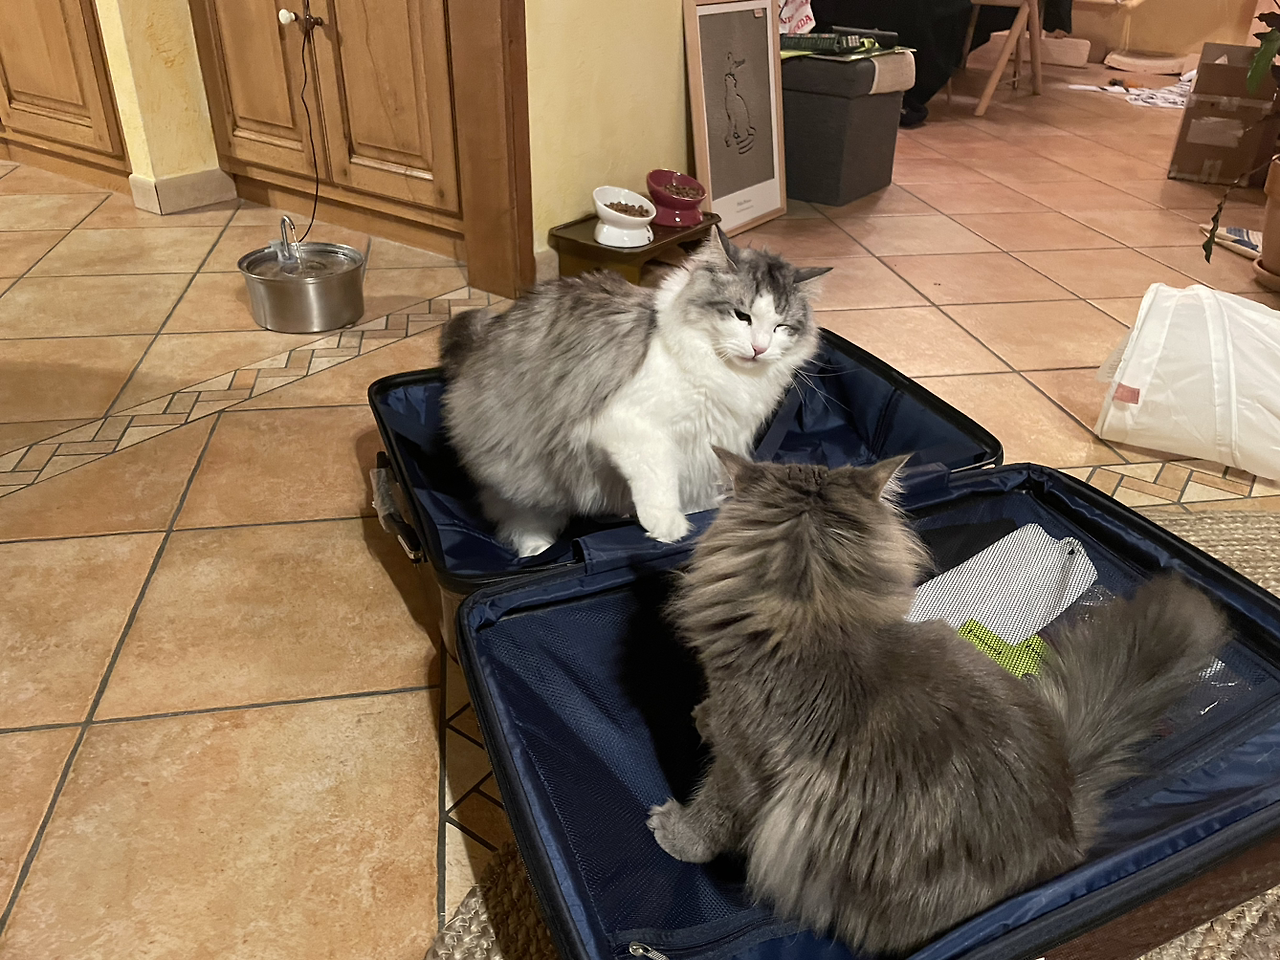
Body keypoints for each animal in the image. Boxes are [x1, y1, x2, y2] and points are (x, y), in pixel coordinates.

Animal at [439, 229, 831, 558]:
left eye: (781, 326)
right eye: (741, 316)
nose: (759, 349)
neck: (725, 373)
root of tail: (479, 343)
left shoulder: (710, 445)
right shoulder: (634, 426)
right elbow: (658, 477)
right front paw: (668, 525)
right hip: (526, 479)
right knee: (519, 523)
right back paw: (538, 551)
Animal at [648, 450, 1228, 956]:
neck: (815, 615)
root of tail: (1065, 825)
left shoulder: (745, 766)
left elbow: (710, 818)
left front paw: (671, 831)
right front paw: (702, 716)